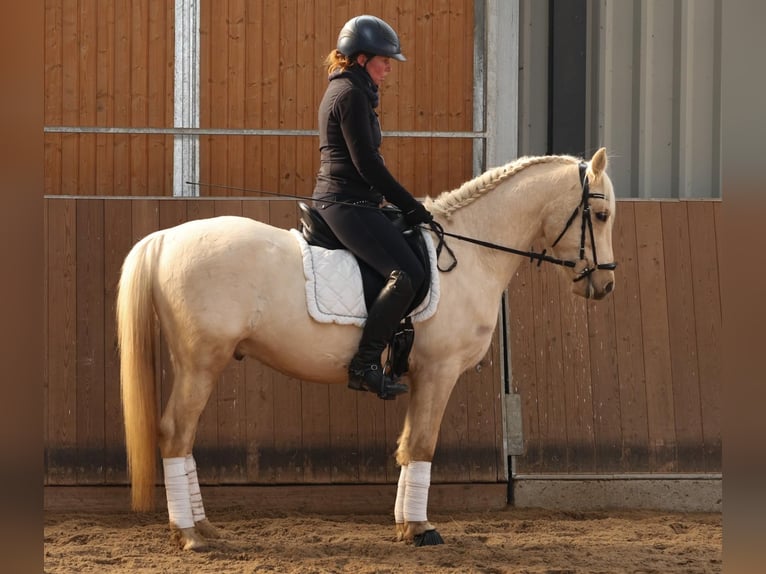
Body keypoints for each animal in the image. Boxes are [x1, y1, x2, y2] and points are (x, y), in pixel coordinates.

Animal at [115, 148, 616, 552]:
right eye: (602, 215)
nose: (606, 285)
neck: (472, 253)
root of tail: (164, 238)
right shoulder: (439, 371)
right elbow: (422, 444)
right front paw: (421, 529)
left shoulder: (420, 376)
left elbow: (406, 446)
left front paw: (405, 526)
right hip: (201, 362)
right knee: (175, 433)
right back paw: (190, 534)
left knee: (183, 438)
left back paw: (202, 526)